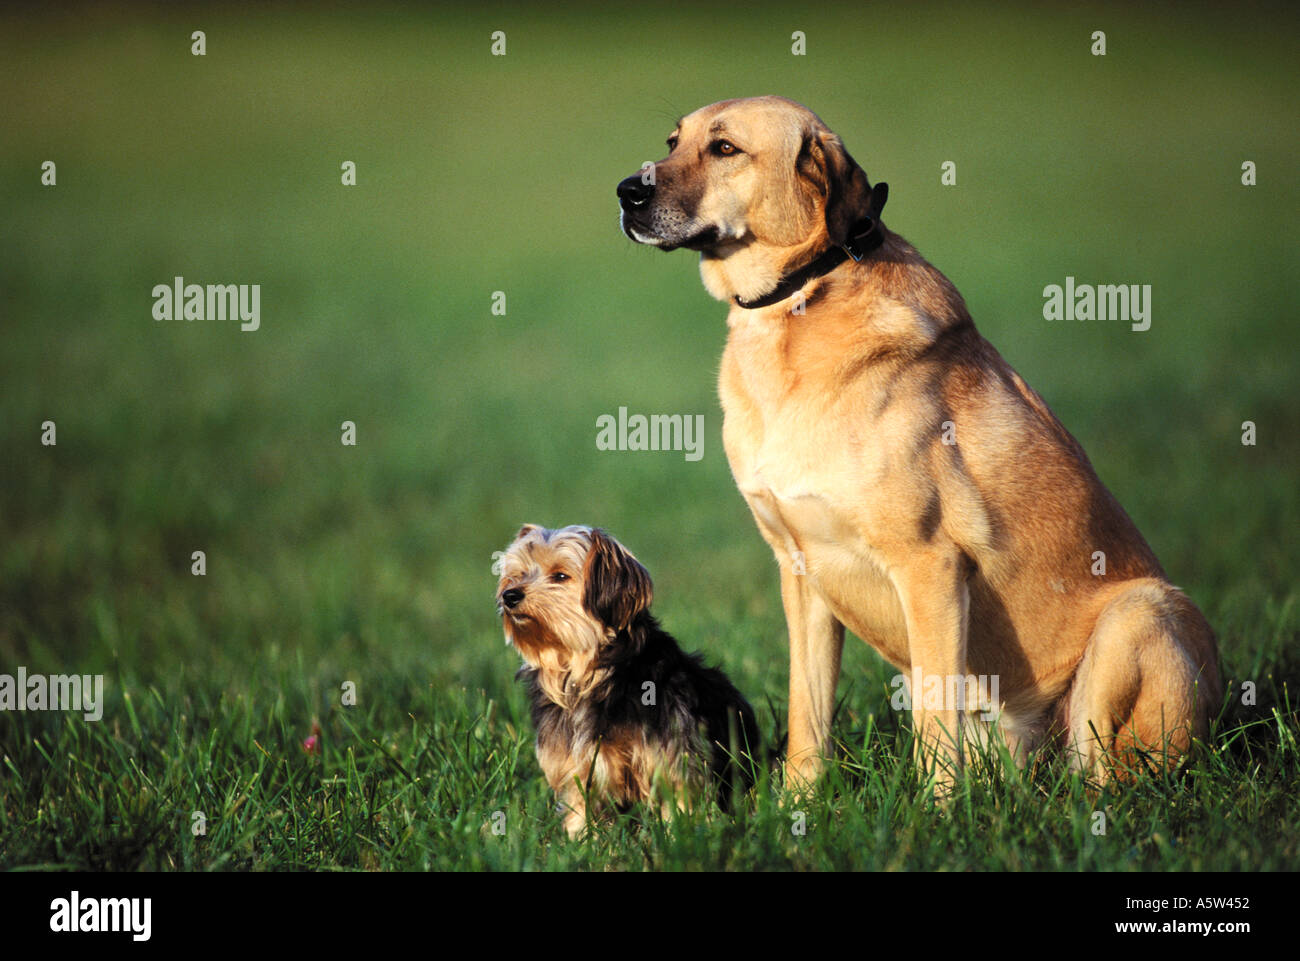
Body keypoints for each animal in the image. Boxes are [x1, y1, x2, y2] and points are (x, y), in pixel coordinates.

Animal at [496, 525, 759, 832]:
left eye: (560, 576)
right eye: (518, 573)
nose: (510, 595)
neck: (587, 675)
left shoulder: (672, 760)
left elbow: (679, 804)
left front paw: (678, 835)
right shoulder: (576, 766)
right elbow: (579, 810)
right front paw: (578, 840)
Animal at [613, 95, 1222, 790]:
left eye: (724, 149)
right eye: (673, 141)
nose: (627, 192)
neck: (798, 300)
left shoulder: (929, 566)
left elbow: (933, 722)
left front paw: (935, 807)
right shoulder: (800, 571)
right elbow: (807, 715)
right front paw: (799, 803)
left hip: (1140, 613)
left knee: (1108, 777)